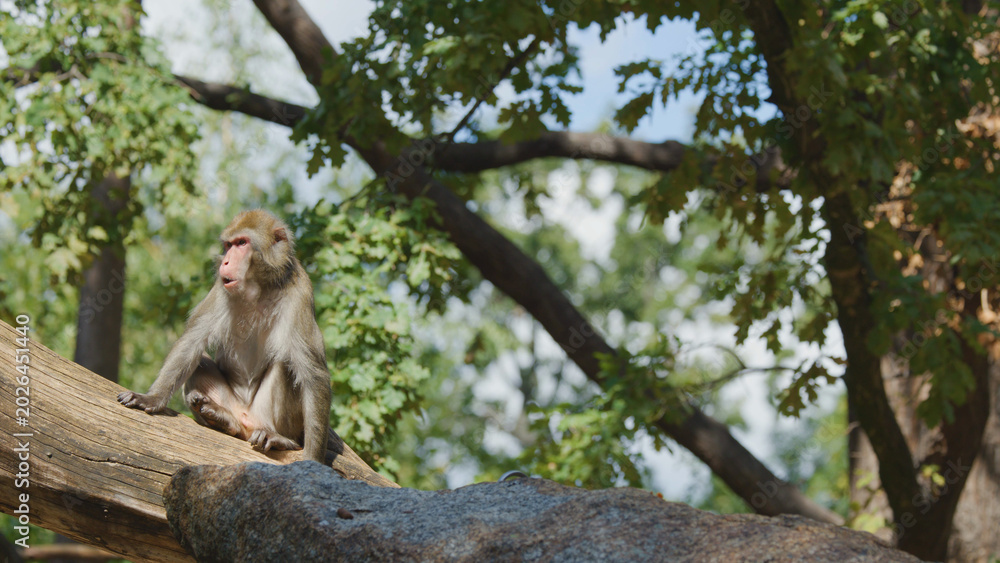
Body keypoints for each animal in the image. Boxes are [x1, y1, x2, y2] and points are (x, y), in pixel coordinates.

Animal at [118, 210, 333, 464]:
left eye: (242, 243)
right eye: (229, 245)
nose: (226, 262)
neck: (259, 288)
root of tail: (248, 419)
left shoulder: (300, 293)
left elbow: (313, 374)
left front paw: (311, 459)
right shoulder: (221, 288)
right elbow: (192, 342)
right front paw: (152, 398)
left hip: (266, 417)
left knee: (286, 365)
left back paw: (282, 439)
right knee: (200, 362)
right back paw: (222, 418)